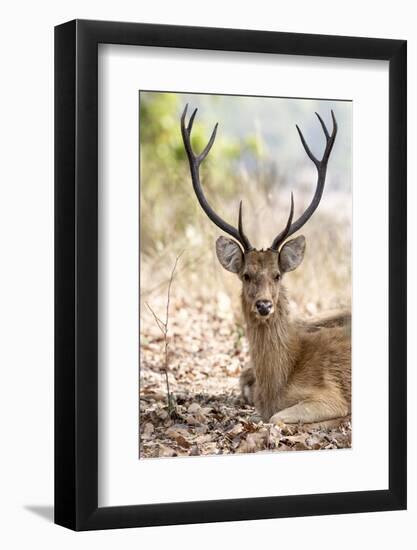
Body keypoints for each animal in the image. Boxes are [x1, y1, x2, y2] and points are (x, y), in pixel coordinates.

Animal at [180, 106, 350, 426]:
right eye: (246, 275)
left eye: (278, 274)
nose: (263, 305)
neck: (277, 386)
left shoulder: (331, 395)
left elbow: (277, 418)